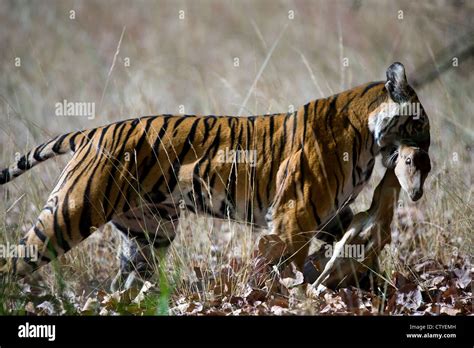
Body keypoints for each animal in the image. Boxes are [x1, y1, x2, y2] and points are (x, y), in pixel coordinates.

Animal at [0, 61, 430, 290]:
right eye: (420, 123)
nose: (428, 148)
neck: (369, 137)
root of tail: (92, 132)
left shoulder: (329, 214)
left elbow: (353, 243)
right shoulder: (296, 214)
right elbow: (288, 264)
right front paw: (288, 293)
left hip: (148, 233)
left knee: (125, 283)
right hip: (68, 215)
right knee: (15, 261)